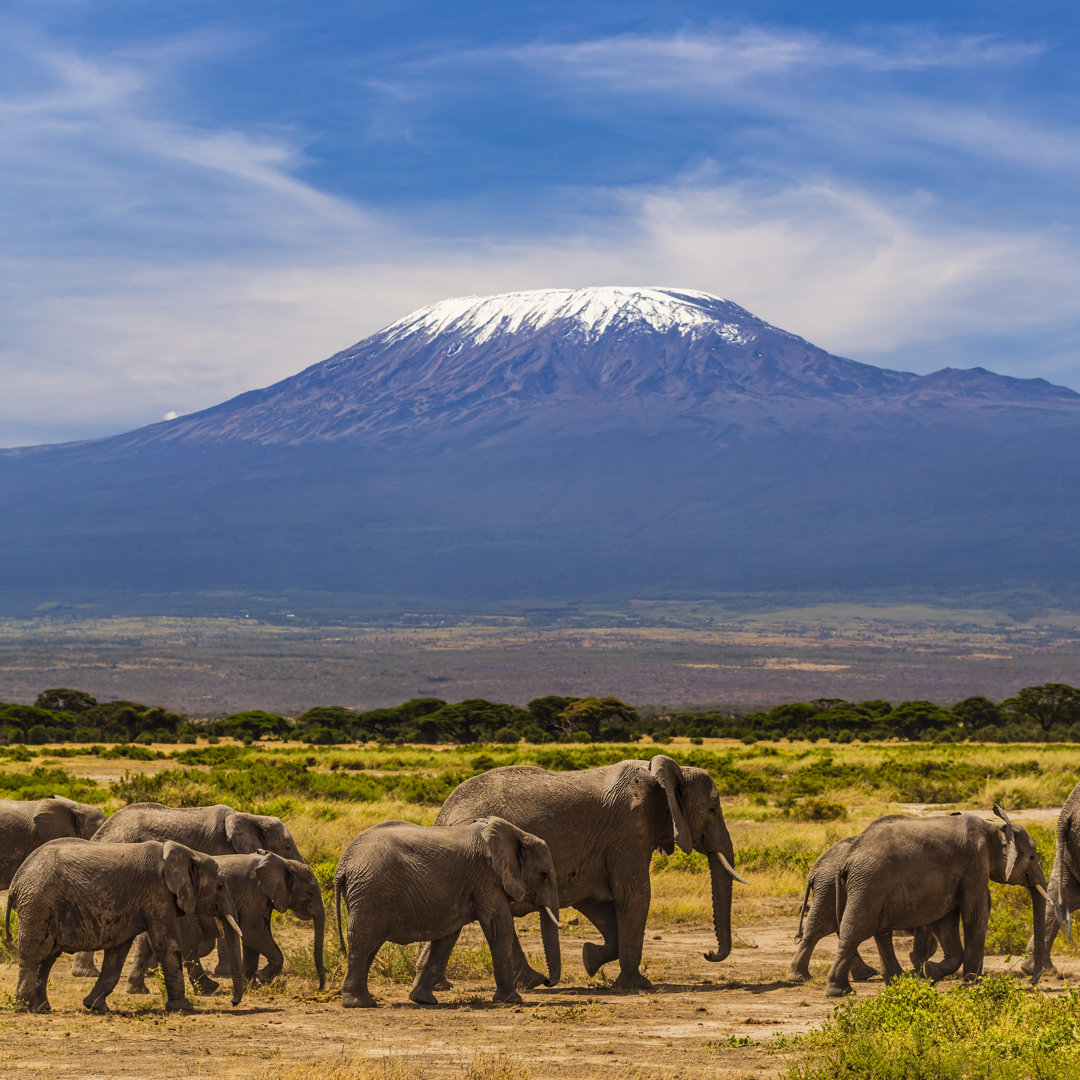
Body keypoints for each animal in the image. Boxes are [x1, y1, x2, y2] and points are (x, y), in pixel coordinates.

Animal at [3, 833, 243, 1010]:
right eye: (220, 885)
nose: (233, 1002)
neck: (187, 853)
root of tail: (17, 879)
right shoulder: (157, 893)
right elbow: (166, 945)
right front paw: (183, 1008)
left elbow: (117, 955)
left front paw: (95, 1007)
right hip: (38, 904)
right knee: (33, 955)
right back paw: (24, 1008)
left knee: (47, 958)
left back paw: (41, 1008)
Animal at [75, 799, 304, 984]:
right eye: (287, 847)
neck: (249, 817)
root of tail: (99, 836)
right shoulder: (221, 852)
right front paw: (225, 971)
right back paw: (89, 973)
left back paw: (87, 973)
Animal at [334, 812, 557, 1006]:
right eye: (544, 874)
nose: (547, 981)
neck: (517, 834)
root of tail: (343, 863)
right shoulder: (485, 876)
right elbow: (498, 926)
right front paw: (512, 1000)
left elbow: (447, 936)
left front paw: (423, 1000)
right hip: (371, 891)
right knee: (364, 941)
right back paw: (359, 1004)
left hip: (367, 892)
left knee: (369, 945)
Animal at [412, 751, 743, 993]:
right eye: (712, 810)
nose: (708, 954)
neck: (664, 773)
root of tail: (442, 815)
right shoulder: (629, 829)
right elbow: (633, 894)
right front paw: (636, 985)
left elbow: (598, 903)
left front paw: (589, 958)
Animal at [825, 807, 1045, 997]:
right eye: (1032, 857)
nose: (1032, 982)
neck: (993, 825)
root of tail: (847, 859)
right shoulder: (974, 864)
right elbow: (974, 915)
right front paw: (970, 986)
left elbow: (945, 922)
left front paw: (929, 972)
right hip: (869, 884)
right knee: (856, 930)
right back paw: (840, 991)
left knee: (881, 932)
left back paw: (896, 983)